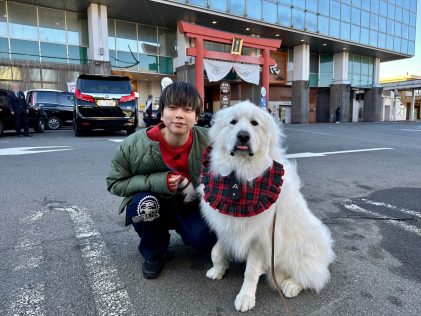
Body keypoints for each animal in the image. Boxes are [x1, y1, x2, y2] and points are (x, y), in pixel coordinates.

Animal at [198, 101, 334, 312]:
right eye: (233, 122)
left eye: (254, 123)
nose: (243, 136)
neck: (240, 175)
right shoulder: (226, 225)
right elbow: (216, 250)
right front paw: (218, 270)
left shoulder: (261, 238)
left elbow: (250, 272)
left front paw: (245, 298)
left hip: (297, 250)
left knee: (312, 276)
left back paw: (290, 286)